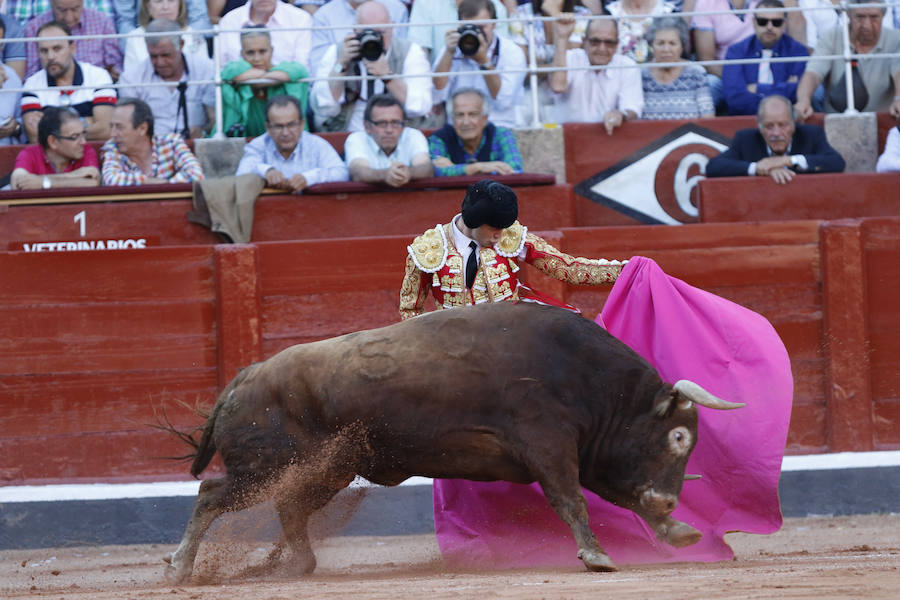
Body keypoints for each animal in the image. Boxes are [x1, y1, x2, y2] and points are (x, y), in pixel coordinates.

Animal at [165, 302, 740, 584]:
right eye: (679, 436)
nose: (667, 499)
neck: (590, 380)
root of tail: (243, 378)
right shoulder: (549, 444)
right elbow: (571, 499)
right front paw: (597, 556)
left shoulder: (593, 454)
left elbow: (618, 495)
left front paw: (678, 531)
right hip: (266, 467)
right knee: (212, 495)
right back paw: (181, 567)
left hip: (325, 468)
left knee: (289, 508)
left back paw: (296, 565)